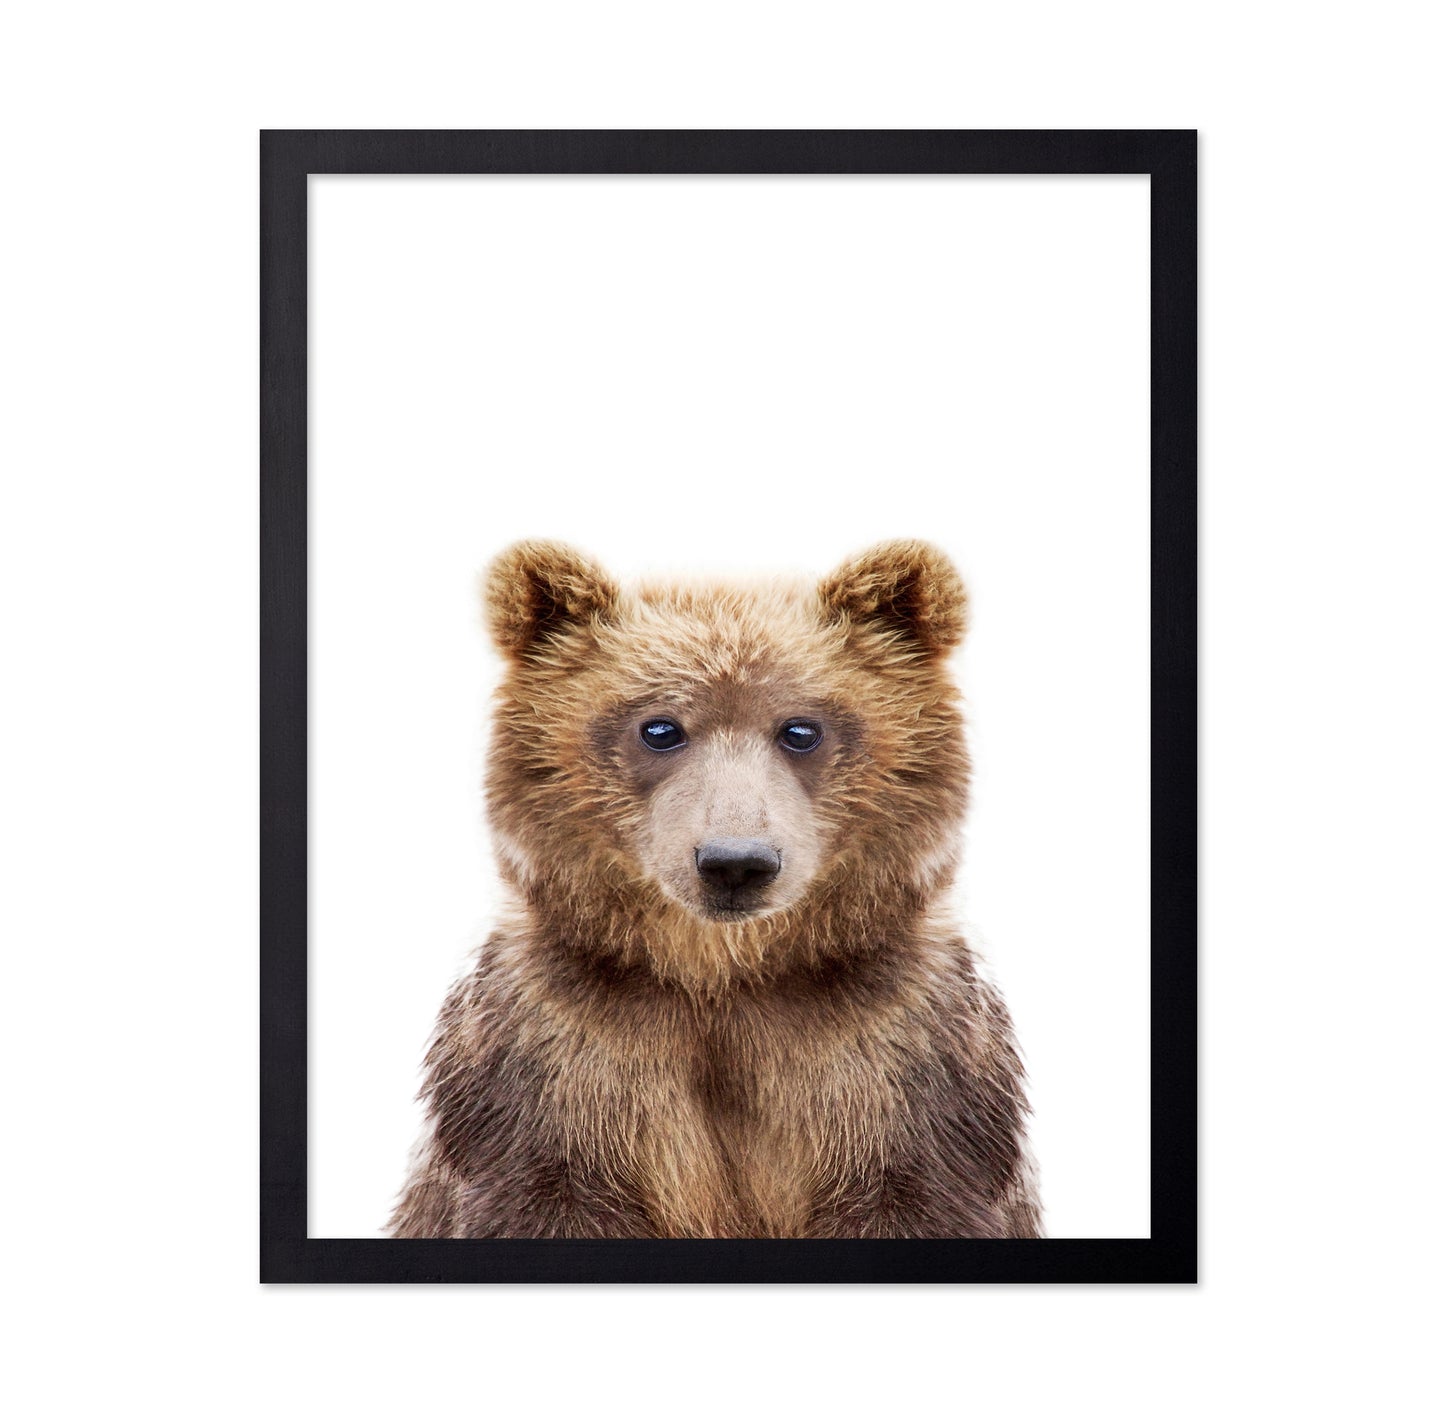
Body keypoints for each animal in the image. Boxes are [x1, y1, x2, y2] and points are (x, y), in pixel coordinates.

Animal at [387, 539, 1042, 1239]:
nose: (735, 862)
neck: (722, 976)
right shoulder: (554, 1060)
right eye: (660, 728)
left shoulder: (900, 1060)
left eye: (800, 729)